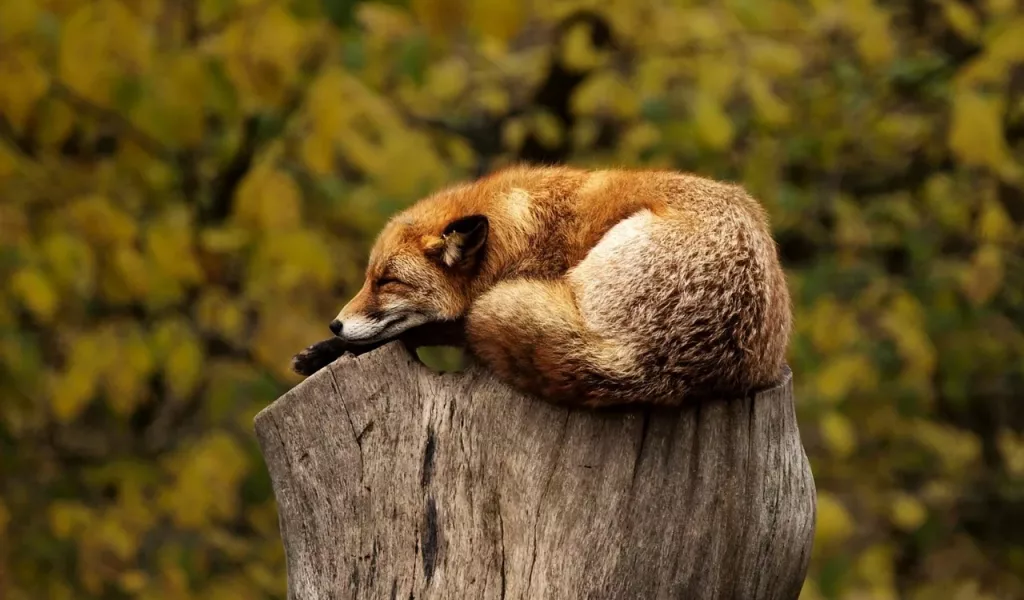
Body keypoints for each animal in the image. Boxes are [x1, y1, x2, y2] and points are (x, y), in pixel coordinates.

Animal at [292, 165, 792, 407]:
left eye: (387, 281)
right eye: (368, 278)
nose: (335, 324)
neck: (518, 232)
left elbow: (426, 329)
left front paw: (330, 350)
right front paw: (322, 350)